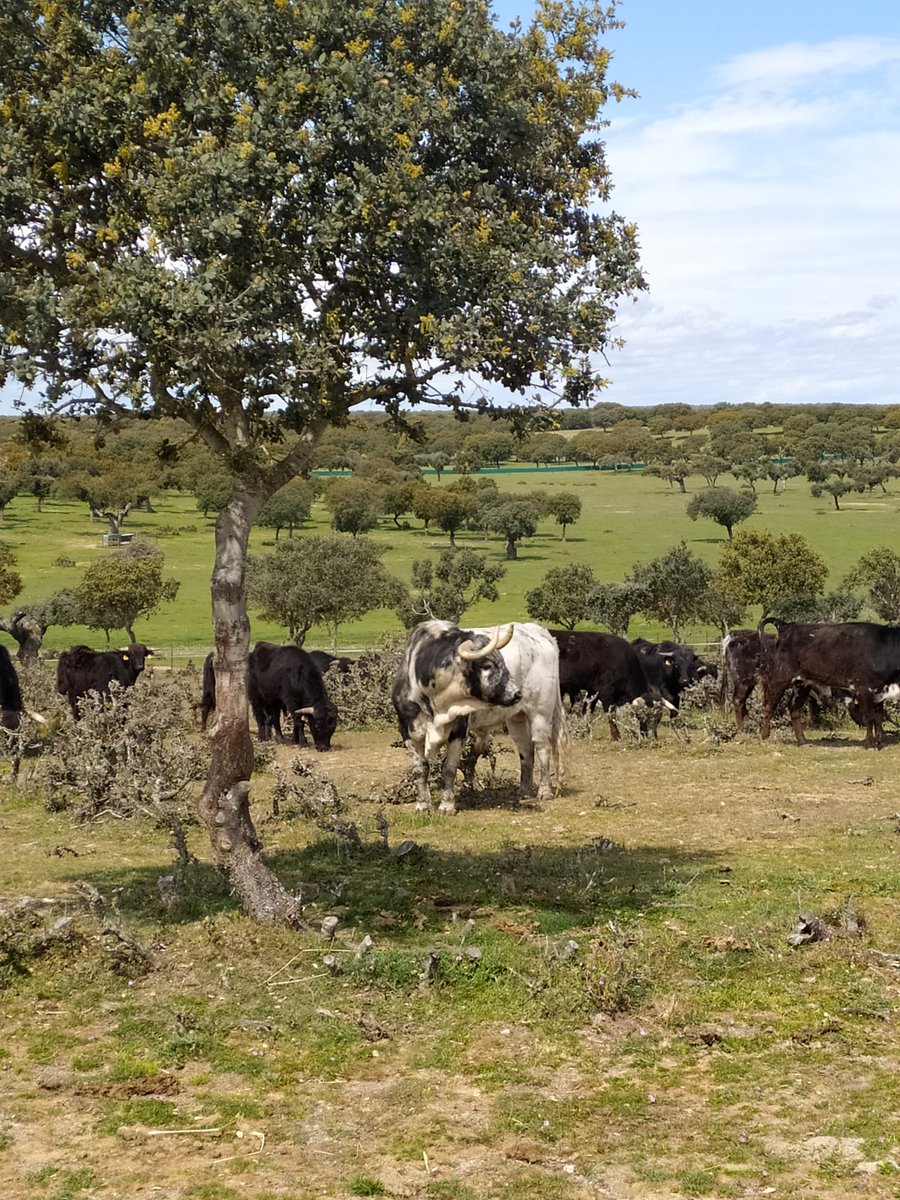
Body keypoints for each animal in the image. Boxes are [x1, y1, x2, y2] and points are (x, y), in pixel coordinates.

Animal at [393, 619, 566, 816]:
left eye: (503, 662)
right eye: (487, 665)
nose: (516, 694)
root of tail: (537, 630)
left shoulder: (459, 730)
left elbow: (449, 768)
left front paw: (447, 805)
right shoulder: (407, 731)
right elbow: (420, 769)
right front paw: (422, 804)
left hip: (540, 714)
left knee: (542, 748)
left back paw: (545, 791)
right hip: (516, 718)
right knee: (526, 750)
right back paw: (524, 790)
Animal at [763, 624, 900, 744]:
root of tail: (787, 626)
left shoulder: (879, 692)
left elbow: (878, 717)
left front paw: (879, 740)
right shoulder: (864, 689)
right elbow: (869, 717)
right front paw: (871, 742)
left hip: (801, 683)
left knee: (794, 707)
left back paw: (802, 740)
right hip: (780, 678)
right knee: (769, 704)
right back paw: (764, 736)